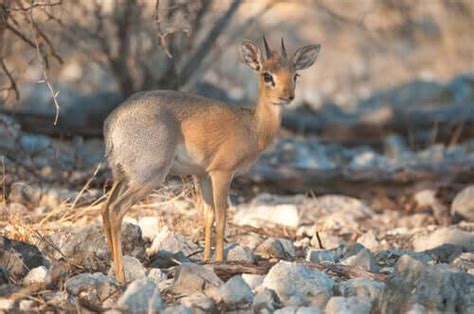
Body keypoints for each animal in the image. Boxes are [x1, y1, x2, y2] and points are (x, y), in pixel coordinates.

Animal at [102, 36, 320, 282]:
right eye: (267, 75)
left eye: (295, 75)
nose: (287, 96)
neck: (253, 126)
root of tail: (112, 122)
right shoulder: (222, 173)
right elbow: (223, 217)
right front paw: (220, 261)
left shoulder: (202, 174)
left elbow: (208, 215)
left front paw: (207, 261)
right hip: (148, 177)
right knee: (116, 209)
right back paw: (121, 276)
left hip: (122, 176)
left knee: (104, 208)